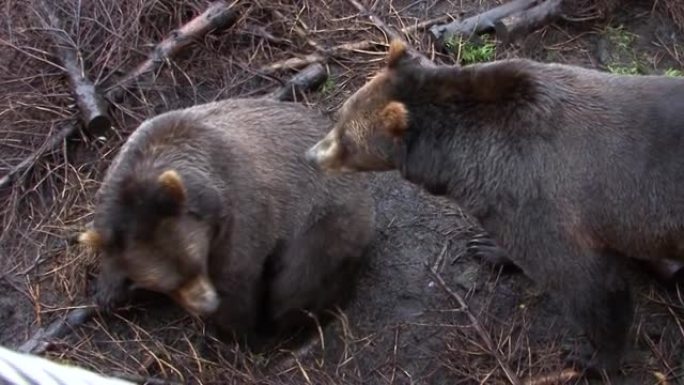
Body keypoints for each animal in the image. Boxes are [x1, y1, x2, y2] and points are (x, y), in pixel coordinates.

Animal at [81, 97, 380, 346]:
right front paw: (108, 292)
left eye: (197, 262)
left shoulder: (239, 211)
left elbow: (239, 280)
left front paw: (236, 331)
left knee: (300, 277)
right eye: (168, 284)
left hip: (325, 219)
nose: (208, 304)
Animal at [308, 38, 684, 368]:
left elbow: (589, 285)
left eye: (346, 139)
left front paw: (594, 357)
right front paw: (488, 247)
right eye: (340, 117)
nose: (312, 155)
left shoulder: (542, 199)